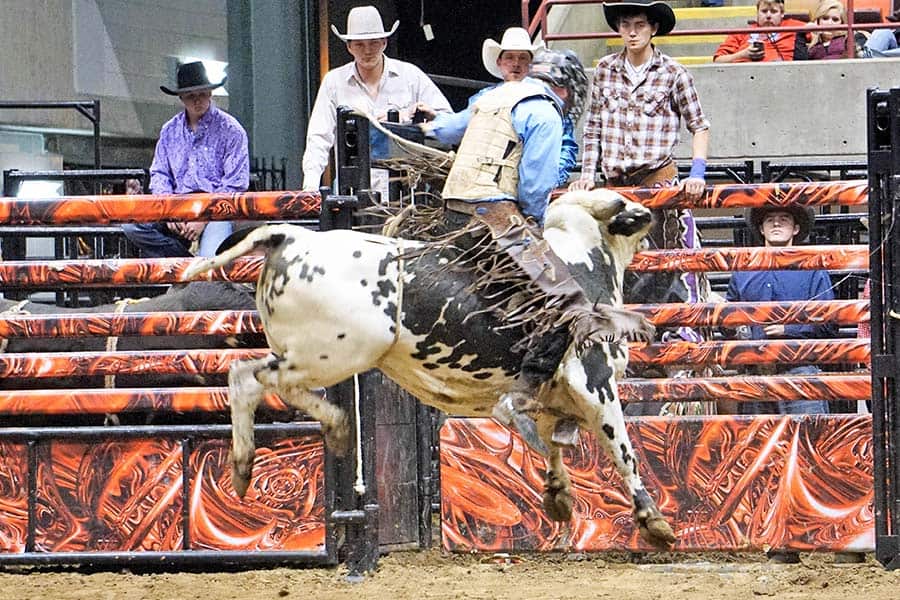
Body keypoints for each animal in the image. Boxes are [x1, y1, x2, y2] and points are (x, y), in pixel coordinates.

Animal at [183, 188, 676, 548]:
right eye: (626, 207)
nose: (649, 214)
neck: (585, 262)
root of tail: (292, 238)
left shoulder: (552, 398)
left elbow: (551, 444)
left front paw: (558, 495)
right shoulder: (596, 385)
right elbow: (624, 452)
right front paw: (654, 523)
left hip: (309, 354)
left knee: (243, 377)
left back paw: (266, 457)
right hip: (336, 352)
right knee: (256, 380)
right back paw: (297, 441)